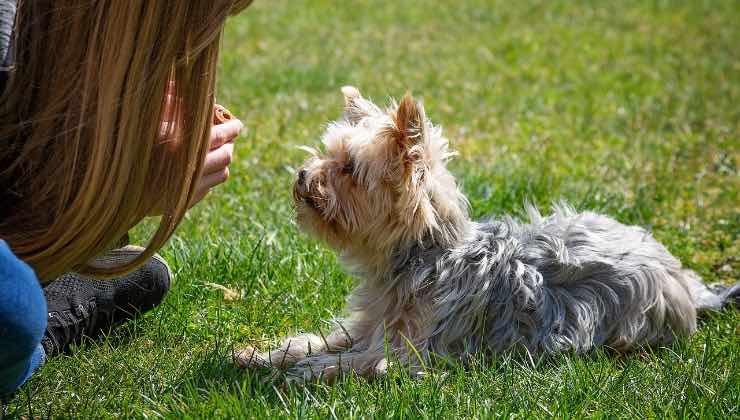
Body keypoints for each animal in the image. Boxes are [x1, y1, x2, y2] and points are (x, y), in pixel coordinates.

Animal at [234, 87, 736, 382]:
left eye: (349, 169)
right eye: (327, 154)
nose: (303, 175)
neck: (423, 257)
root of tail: (685, 282)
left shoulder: (412, 354)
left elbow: (354, 361)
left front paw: (298, 372)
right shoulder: (369, 325)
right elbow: (324, 340)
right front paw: (262, 355)